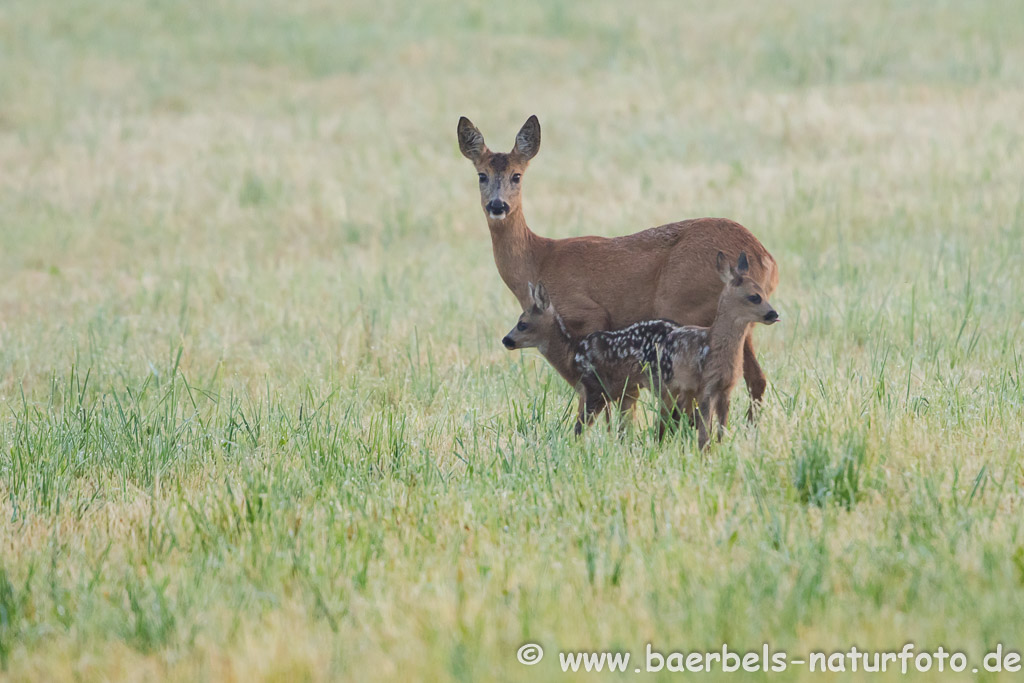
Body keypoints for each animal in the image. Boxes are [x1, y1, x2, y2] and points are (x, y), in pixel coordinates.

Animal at [460, 116, 778, 417]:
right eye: (481, 175)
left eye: (517, 176)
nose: (497, 205)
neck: (539, 259)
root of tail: (766, 258)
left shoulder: (588, 314)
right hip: (743, 321)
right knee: (756, 379)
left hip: (684, 303)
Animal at [501, 250, 774, 448]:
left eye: (522, 323)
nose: (506, 340)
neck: (571, 354)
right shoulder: (622, 393)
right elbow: (620, 430)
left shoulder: (594, 388)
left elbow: (579, 430)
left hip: (664, 383)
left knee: (677, 420)